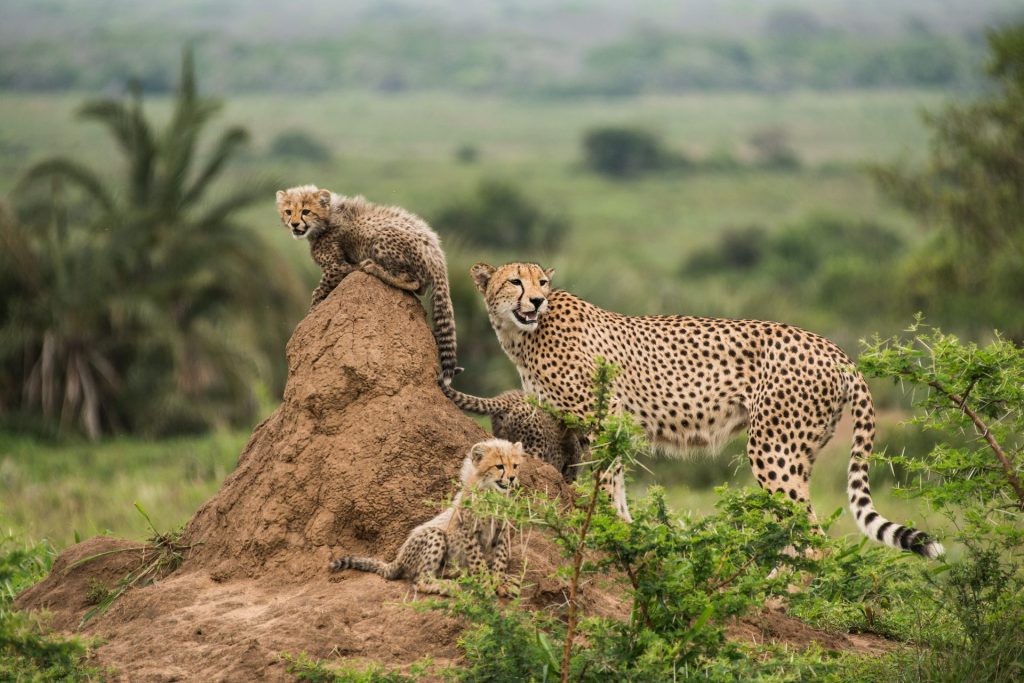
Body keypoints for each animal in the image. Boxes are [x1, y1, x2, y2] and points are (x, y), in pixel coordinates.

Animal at [276, 185, 460, 382]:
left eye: (306, 211)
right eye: (288, 211)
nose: (294, 224)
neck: (327, 218)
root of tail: (437, 255)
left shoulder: (337, 267)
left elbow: (317, 292)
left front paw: (311, 314)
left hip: (382, 237)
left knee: (413, 282)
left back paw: (374, 268)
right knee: (420, 288)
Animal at [329, 438, 524, 595]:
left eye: (515, 466)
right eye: (499, 466)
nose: (512, 478)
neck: (492, 495)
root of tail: (397, 560)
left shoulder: (502, 530)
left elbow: (501, 557)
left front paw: (500, 581)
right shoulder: (468, 530)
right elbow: (477, 560)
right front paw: (486, 583)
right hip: (433, 534)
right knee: (419, 580)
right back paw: (447, 585)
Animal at [469, 261, 944, 559]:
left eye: (541, 284)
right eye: (515, 282)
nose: (535, 301)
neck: (523, 334)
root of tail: (833, 348)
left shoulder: (600, 417)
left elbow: (605, 480)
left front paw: (605, 524)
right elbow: (614, 481)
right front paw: (622, 527)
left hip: (773, 448)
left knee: (813, 536)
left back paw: (783, 600)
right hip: (799, 452)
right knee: (797, 528)